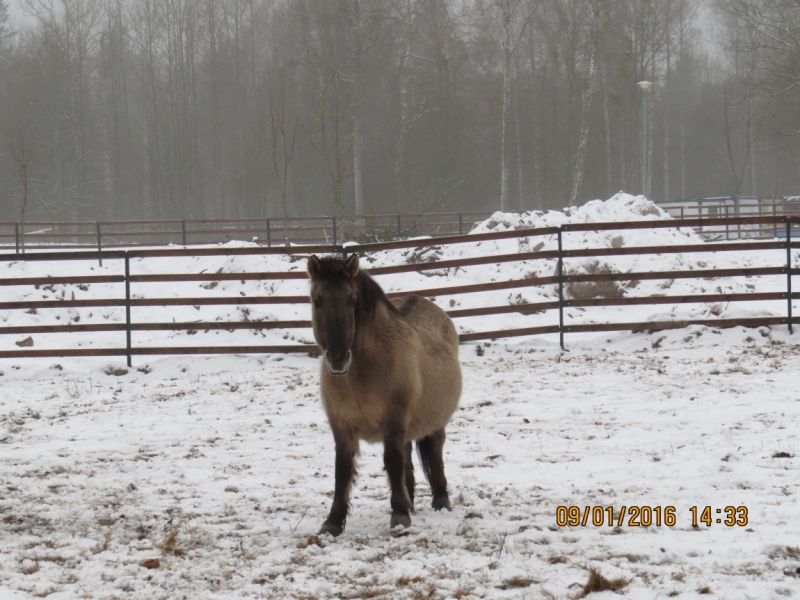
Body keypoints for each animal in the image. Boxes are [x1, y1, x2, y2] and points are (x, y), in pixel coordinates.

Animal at [308, 253, 462, 536]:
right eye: (317, 300)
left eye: (351, 299)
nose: (338, 358)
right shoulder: (341, 425)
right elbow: (343, 469)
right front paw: (333, 522)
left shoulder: (394, 420)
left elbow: (392, 461)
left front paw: (399, 516)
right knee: (407, 461)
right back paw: (410, 500)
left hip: (434, 423)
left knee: (434, 454)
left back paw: (440, 501)